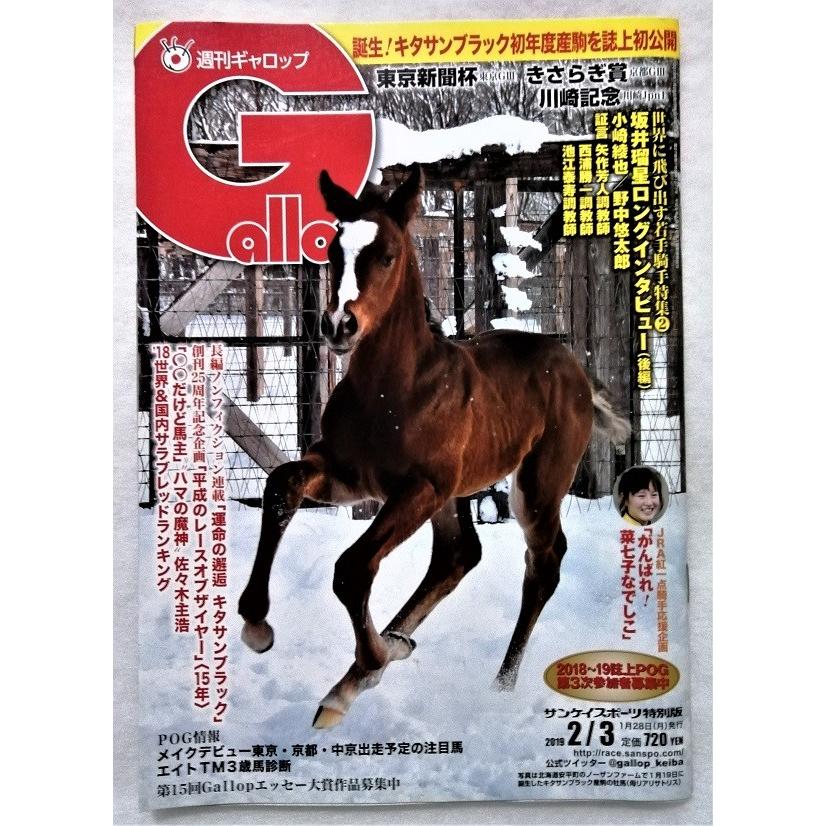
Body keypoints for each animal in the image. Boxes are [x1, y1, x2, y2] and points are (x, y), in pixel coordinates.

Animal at [238, 164, 630, 728]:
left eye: (386, 255)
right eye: (332, 250)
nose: (338, 326)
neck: (393, 390)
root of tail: (575, 366)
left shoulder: (419, 489)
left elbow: (351, 568)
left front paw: (375, 658)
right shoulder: (349, 475)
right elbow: (280, 485)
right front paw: (256, 625)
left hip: (535, 483)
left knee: (544, 560)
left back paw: (496, 685)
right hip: (454, 495)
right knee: (458, 554)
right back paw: (376, 662)